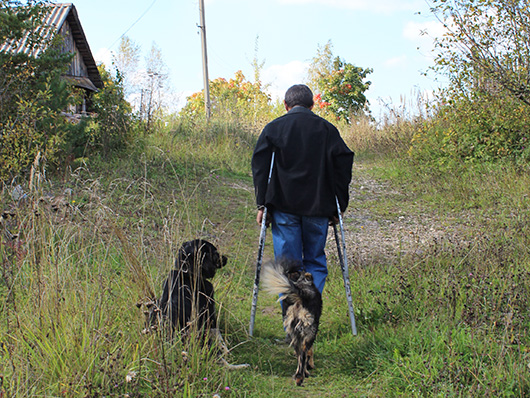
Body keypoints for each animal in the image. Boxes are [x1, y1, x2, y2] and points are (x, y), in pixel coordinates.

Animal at [260, 260, 322, 388]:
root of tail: (301, 294)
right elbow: (309, 353)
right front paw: (310, 366)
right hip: (308, 332)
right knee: (303, 356)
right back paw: (301, 377)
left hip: (294, 334)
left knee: (299, 356)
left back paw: (299, 377)